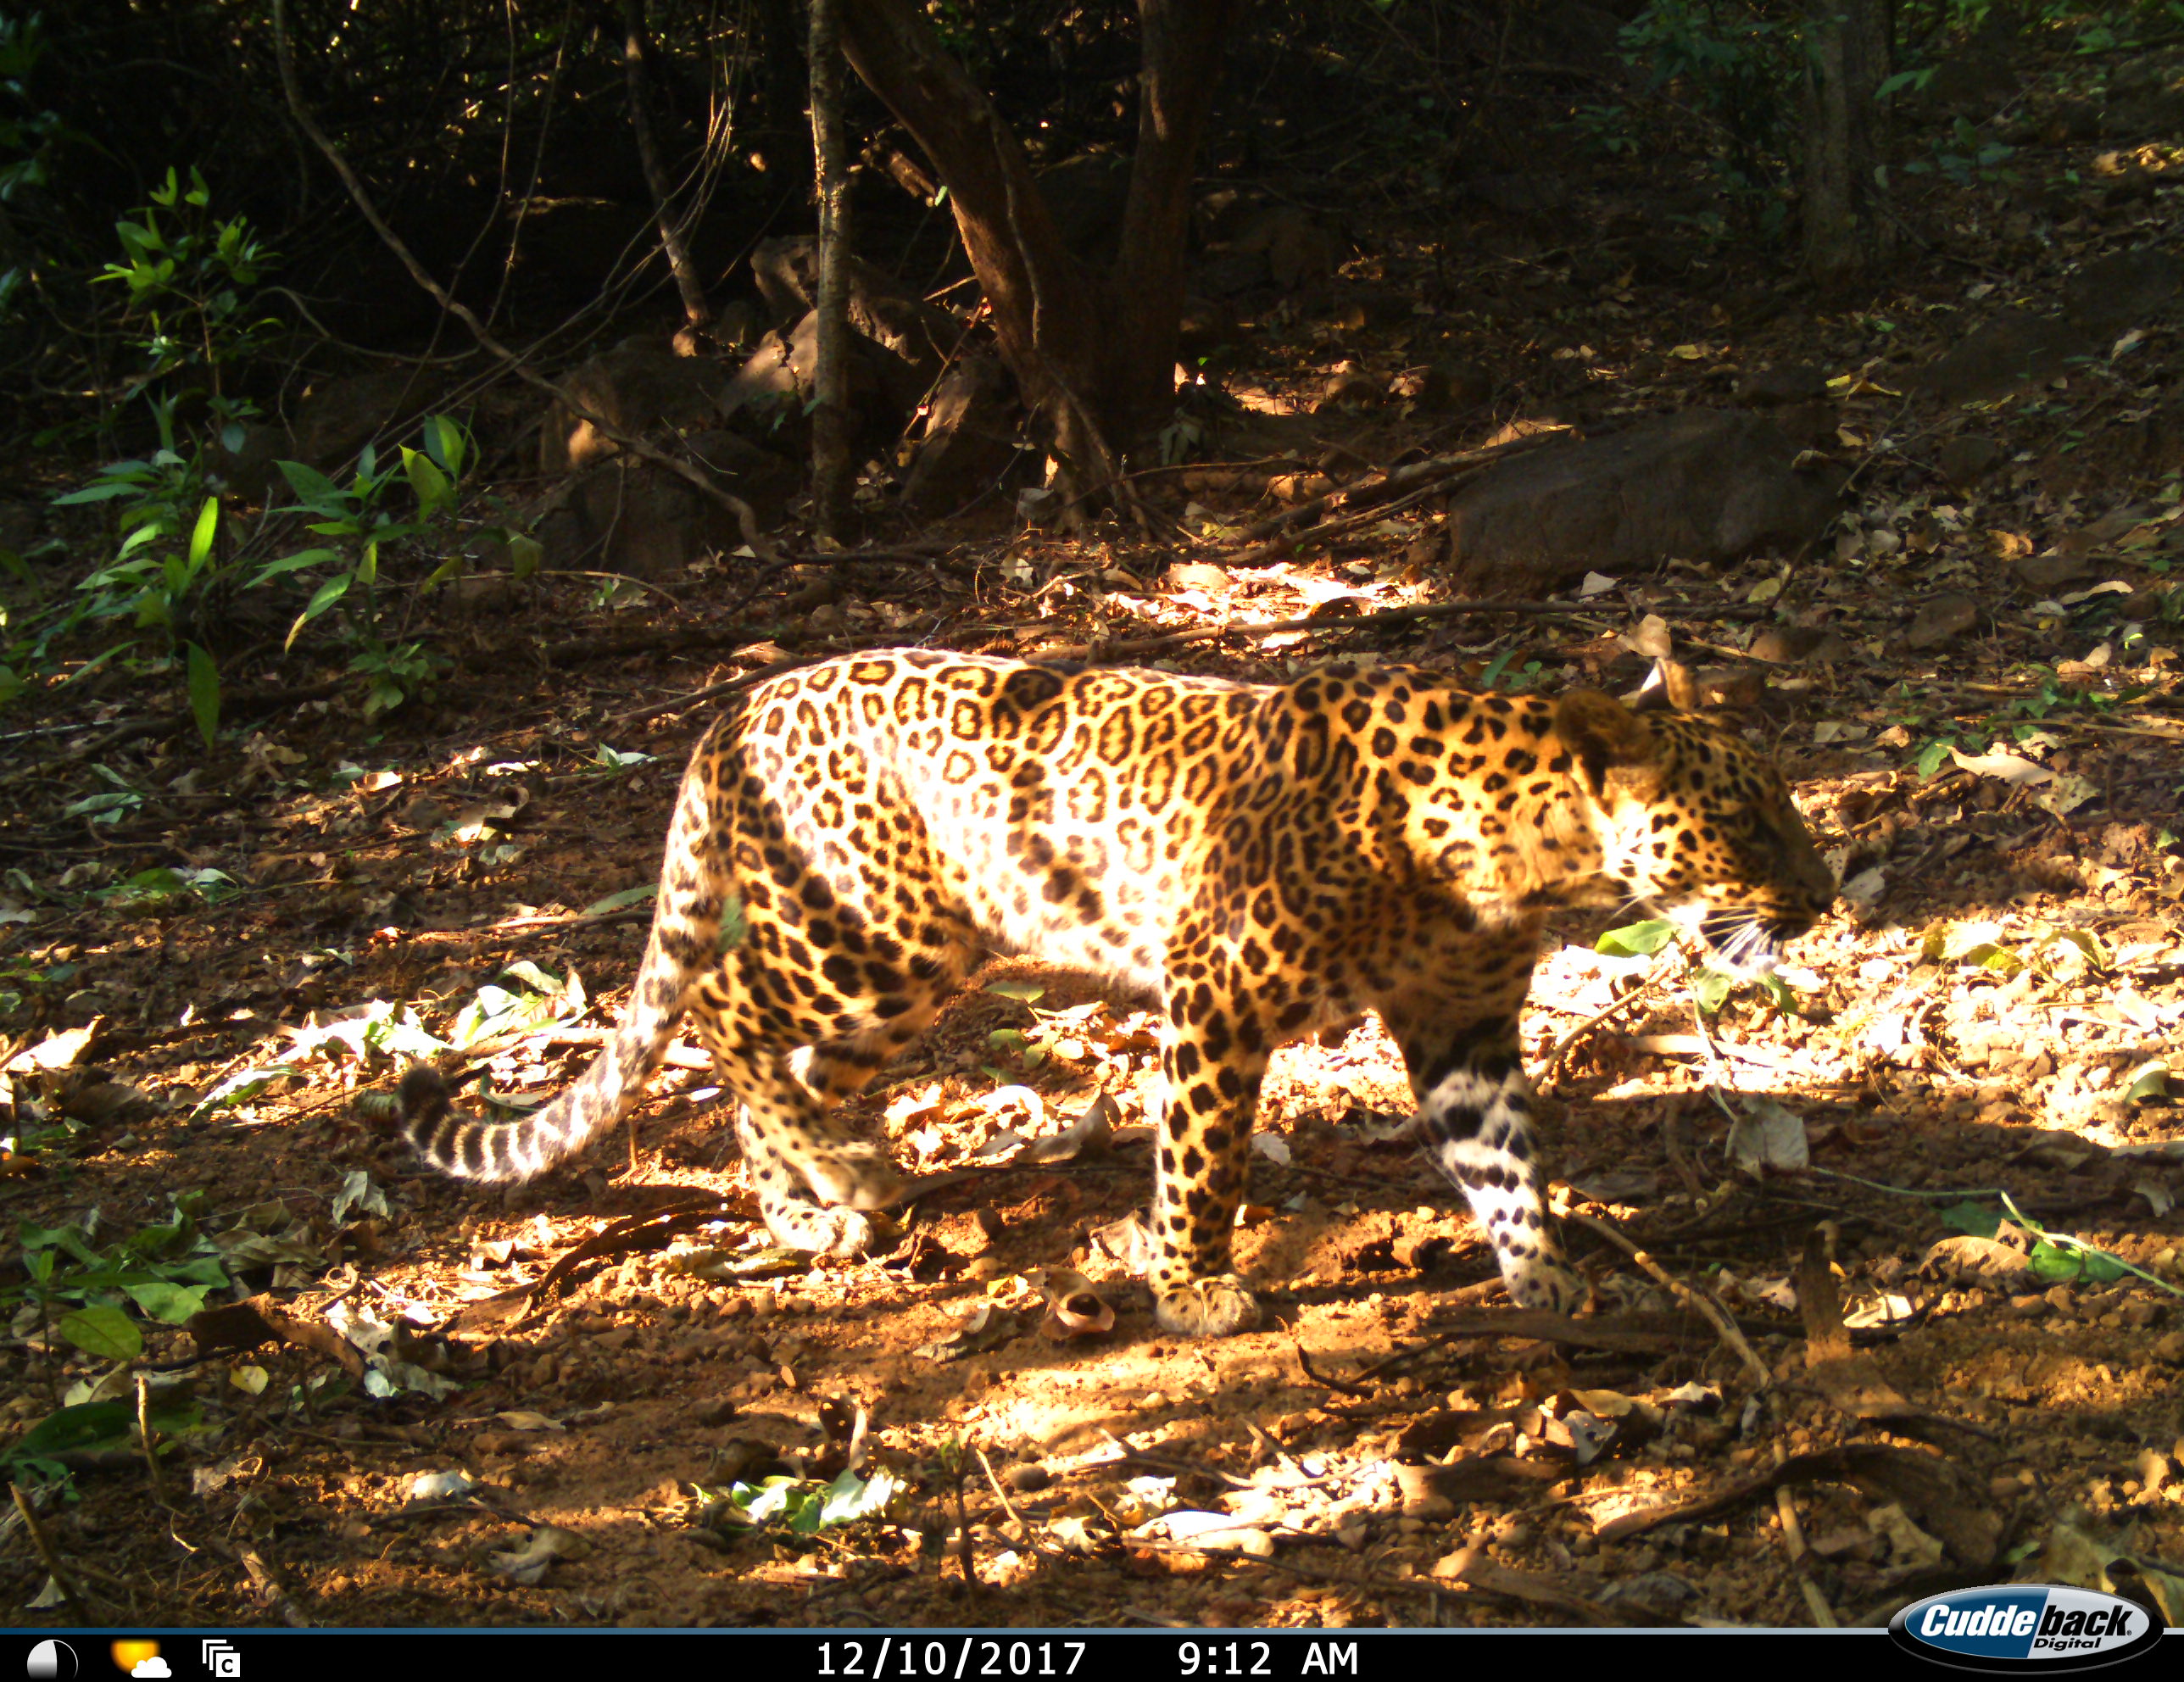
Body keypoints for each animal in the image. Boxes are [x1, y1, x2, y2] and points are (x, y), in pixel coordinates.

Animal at [384, 646, 1834, 1328]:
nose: (1824, 898)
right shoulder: (1219, 991)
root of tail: (729, 714)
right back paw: (827, 1191)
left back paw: (832, 1181)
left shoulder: (1462, 1024)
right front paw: (1191, 1285)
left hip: (909, 973)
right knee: (731, 1023)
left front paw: (1546, 1274)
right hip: (870, 941)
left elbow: (1503, 1159)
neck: (1519, 864)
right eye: (1747, 821)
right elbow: (1206, 1159)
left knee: (782, 1061)